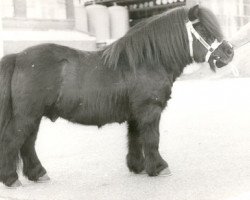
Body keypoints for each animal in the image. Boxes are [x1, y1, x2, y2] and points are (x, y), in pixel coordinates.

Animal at [0, 5, 234, 188]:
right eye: (202, 28)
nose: (230, 52)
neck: (148, 60)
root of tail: (17, 57)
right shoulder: (150, 110)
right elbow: (152, 139)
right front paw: (159, 167)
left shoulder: (136, 114)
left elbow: (135, 138)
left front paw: (138, 167)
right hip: (26, 116)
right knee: (13, 141)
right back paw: (11, 179)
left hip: (33, 116)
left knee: (27, 144)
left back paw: (38, 173)